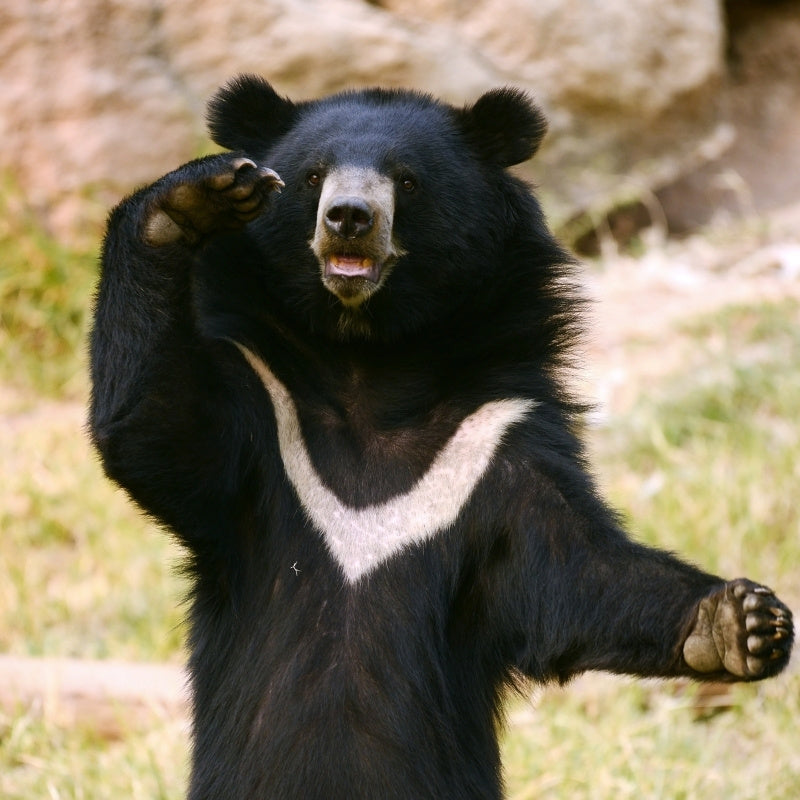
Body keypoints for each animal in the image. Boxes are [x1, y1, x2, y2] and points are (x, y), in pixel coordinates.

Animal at [89, 75, 793, 800]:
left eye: (407, 180)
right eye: (313, 174)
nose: (349, 217)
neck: (369, 361)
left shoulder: (496, 439)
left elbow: (572, 566)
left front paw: (742, 623)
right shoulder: (263, 418)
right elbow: (160, 431)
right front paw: (191, 201)